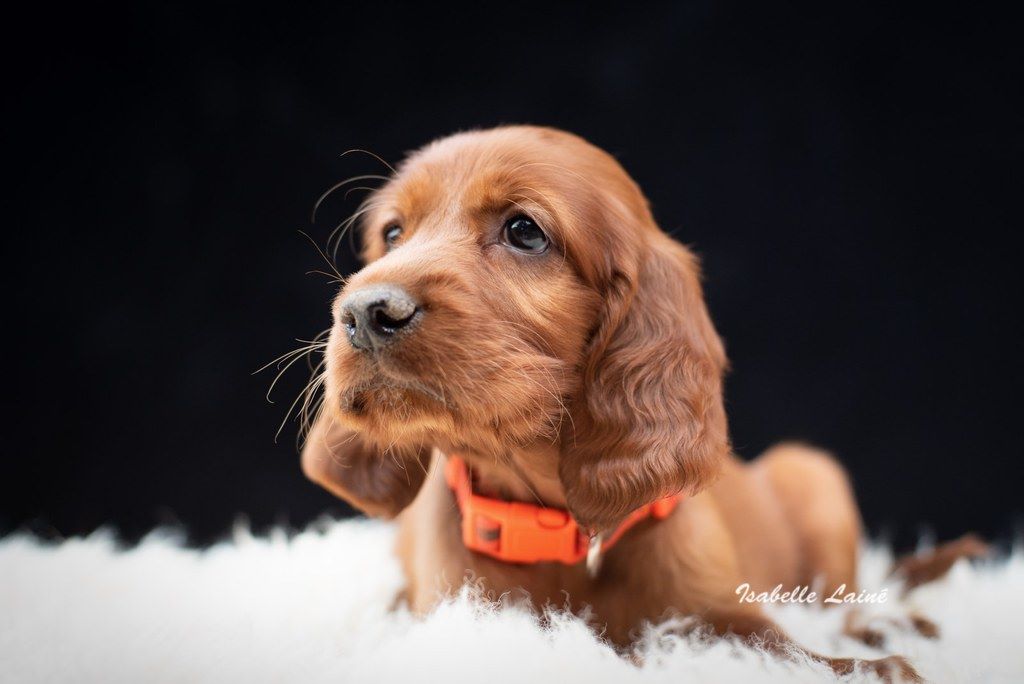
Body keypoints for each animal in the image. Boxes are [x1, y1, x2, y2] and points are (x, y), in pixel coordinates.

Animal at [296, 126, 958, 679]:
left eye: (524, 231)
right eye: (392, 234)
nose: (365, 312)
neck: (559, 525)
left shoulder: (715, 614)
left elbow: (785, 646)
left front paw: (873, 667)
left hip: (813, 472)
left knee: (838, 605)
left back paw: (888, 622)